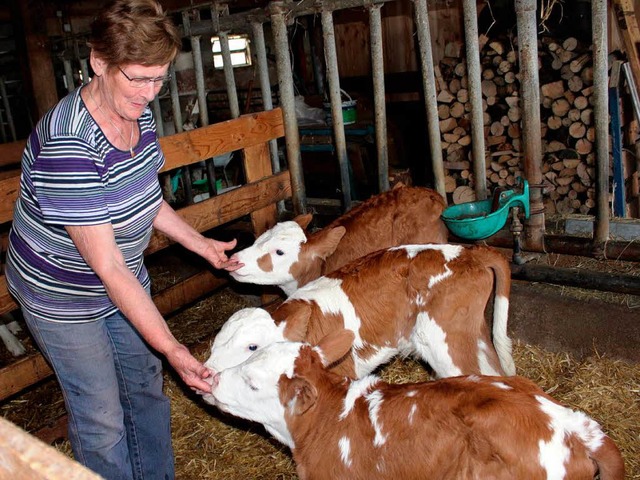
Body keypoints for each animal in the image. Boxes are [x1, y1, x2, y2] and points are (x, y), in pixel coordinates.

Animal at [205, 244, 516, 378]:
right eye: (215, 343)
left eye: (252, 347)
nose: (206, 372)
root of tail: (469, 251)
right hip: (472, 334)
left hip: (444, 345)